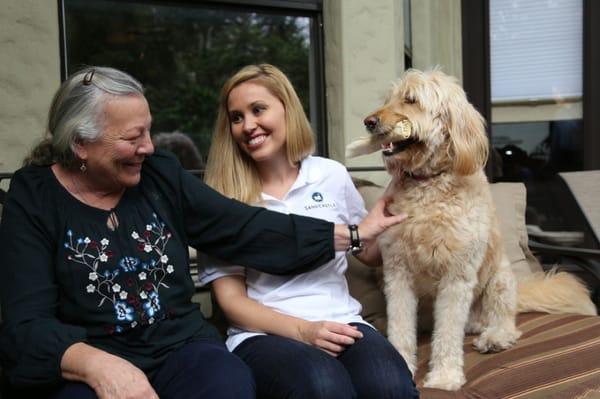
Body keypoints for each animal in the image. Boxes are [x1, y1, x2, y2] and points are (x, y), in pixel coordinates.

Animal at [346, 68, 596, 390]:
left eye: (411, 99)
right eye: (388, 99)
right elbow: (401, 326)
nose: (368, 122)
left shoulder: (457, 276)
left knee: (504, 321)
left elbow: (447, 334)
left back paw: (495, 337)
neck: (429, 185)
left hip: (500, 279)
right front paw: (402, 363)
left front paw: (444, 377)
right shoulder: (397, 273)